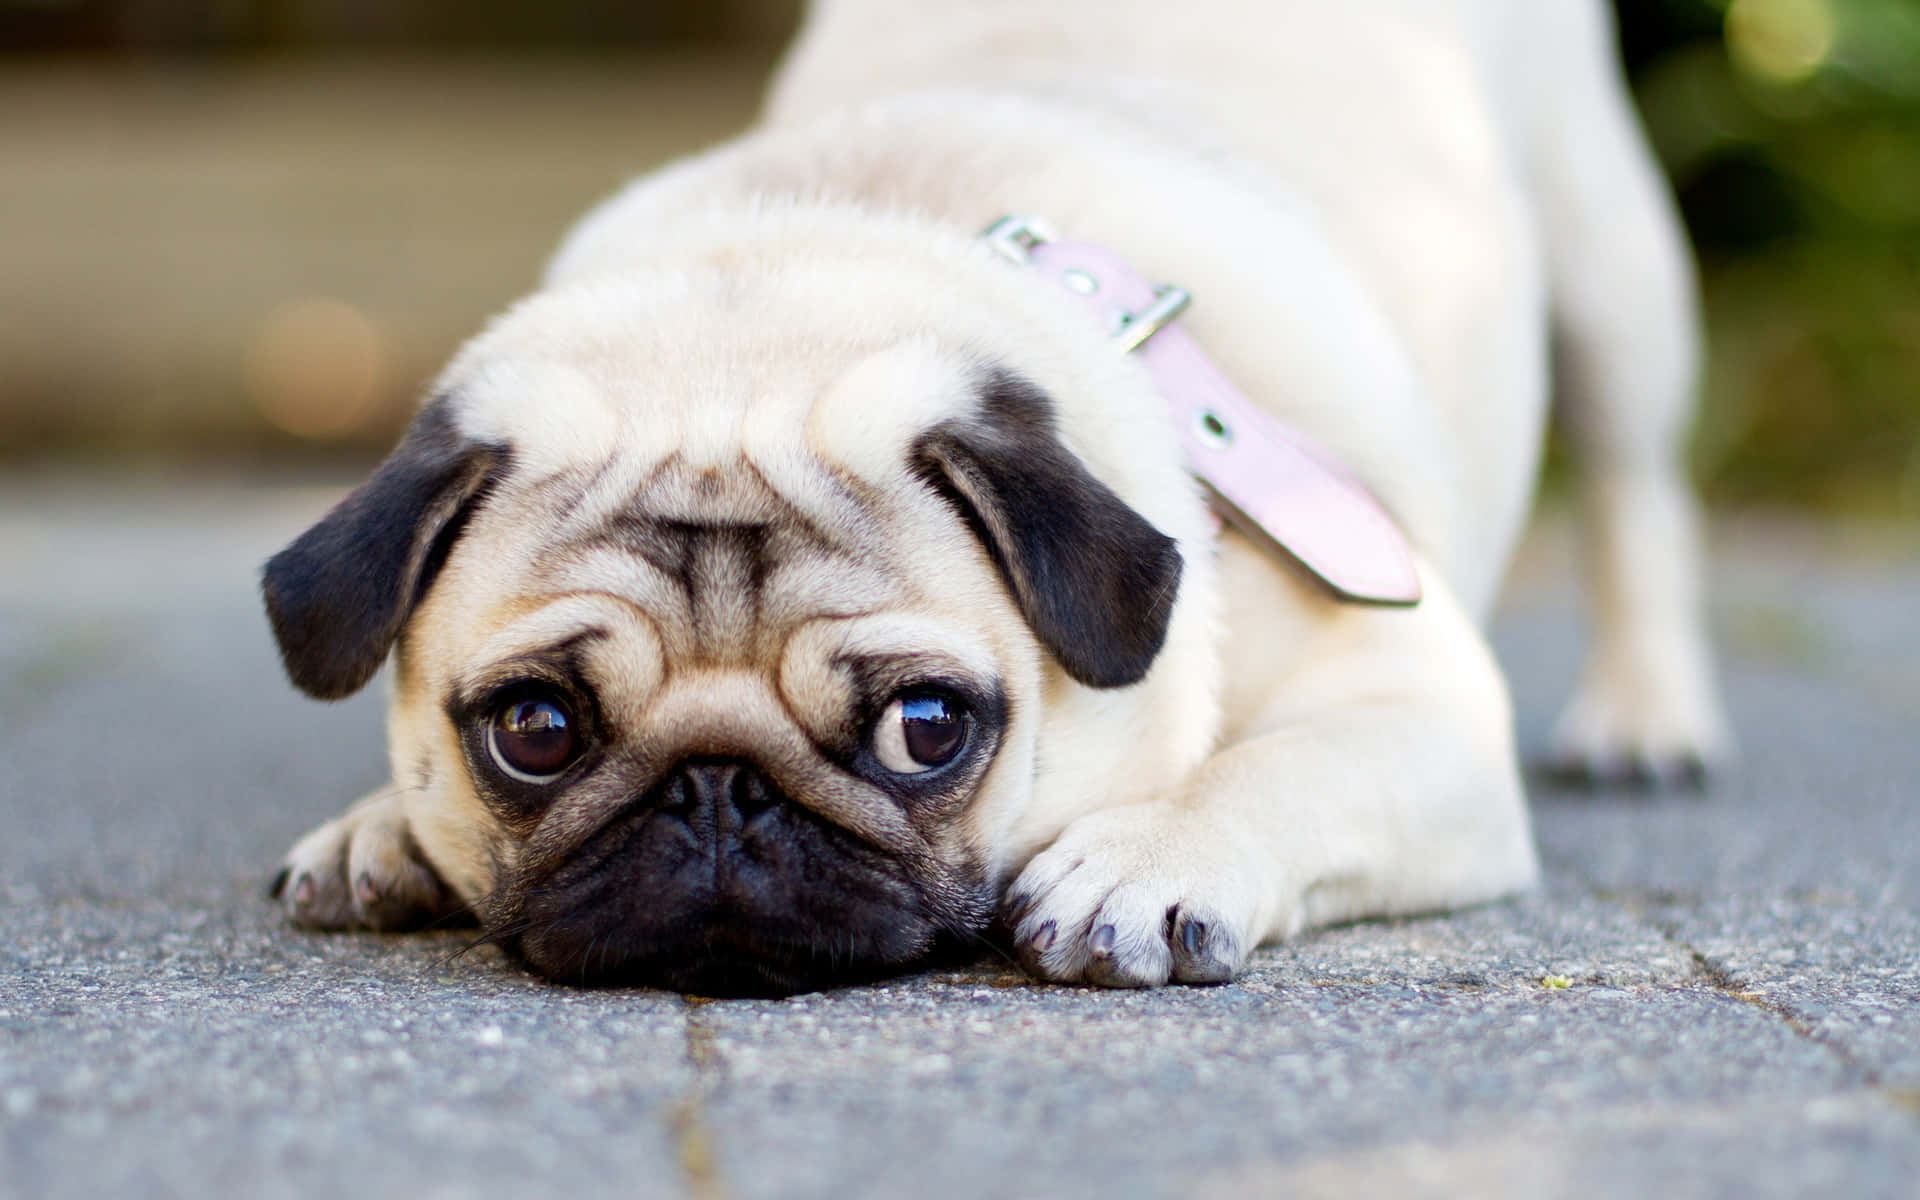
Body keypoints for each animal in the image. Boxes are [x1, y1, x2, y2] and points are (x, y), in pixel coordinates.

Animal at [266, 0, 1728, 990]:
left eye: (926, 729)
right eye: (536, 731)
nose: (716, 793)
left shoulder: (1425, 714)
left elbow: (1282, 767)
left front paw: (1152, 856)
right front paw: (381, 828)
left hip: (1613, 274)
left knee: (1637, 491)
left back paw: (1647, 715)